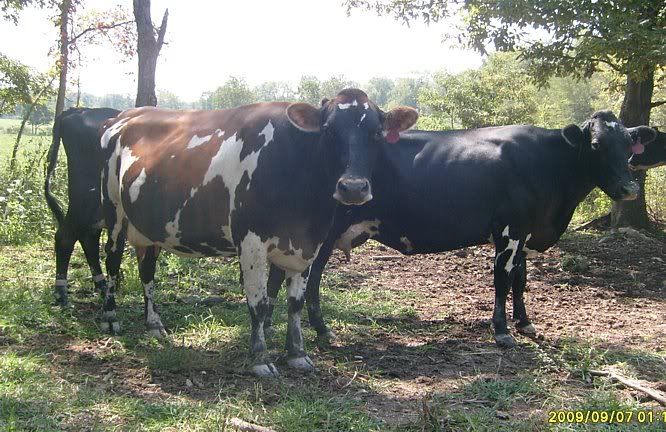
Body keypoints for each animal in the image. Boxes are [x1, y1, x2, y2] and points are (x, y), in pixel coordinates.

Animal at [45, 107, 122, 307]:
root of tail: (78, 110)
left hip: (96, 210)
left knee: (89, 239)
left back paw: (101, 285)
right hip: (84, 200)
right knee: (65, 237)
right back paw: (62, 293)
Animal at [98, 89, 418, 376]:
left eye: (376, 133)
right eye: (327, 131)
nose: (353, 188)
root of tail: (124, 115)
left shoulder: (306, 246)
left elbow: (295, 303)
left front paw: (297, 354)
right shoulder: (250, 242)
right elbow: (259, 303)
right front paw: (260, 358)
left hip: (149, 228)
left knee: (147, 271)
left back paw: (154, 325)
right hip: (113, 213)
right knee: (111, 263)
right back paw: (110, 317)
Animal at [265, 110, 657, 348]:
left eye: (629, 146)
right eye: (597, 145)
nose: (629, 189)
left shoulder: (525, 231)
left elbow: (520, 280)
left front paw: (525, 323)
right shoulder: (509, 229)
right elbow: (502, 279)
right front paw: (502, 332)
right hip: (323, 231)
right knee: (310, 277)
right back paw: (321, 330)